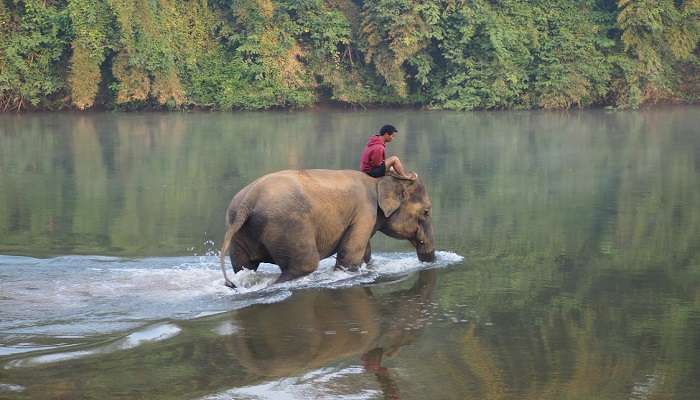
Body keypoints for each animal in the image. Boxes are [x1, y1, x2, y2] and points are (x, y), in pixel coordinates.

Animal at [221, 169, 434, 288]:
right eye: (426, 211)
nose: (430, 261)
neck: (377, 181)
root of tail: (249, 199)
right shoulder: (365, 212)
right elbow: (350, 254)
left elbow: (364, 252)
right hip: (288, 226)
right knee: (304, 265)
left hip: (240, 229)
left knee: (243, 266)